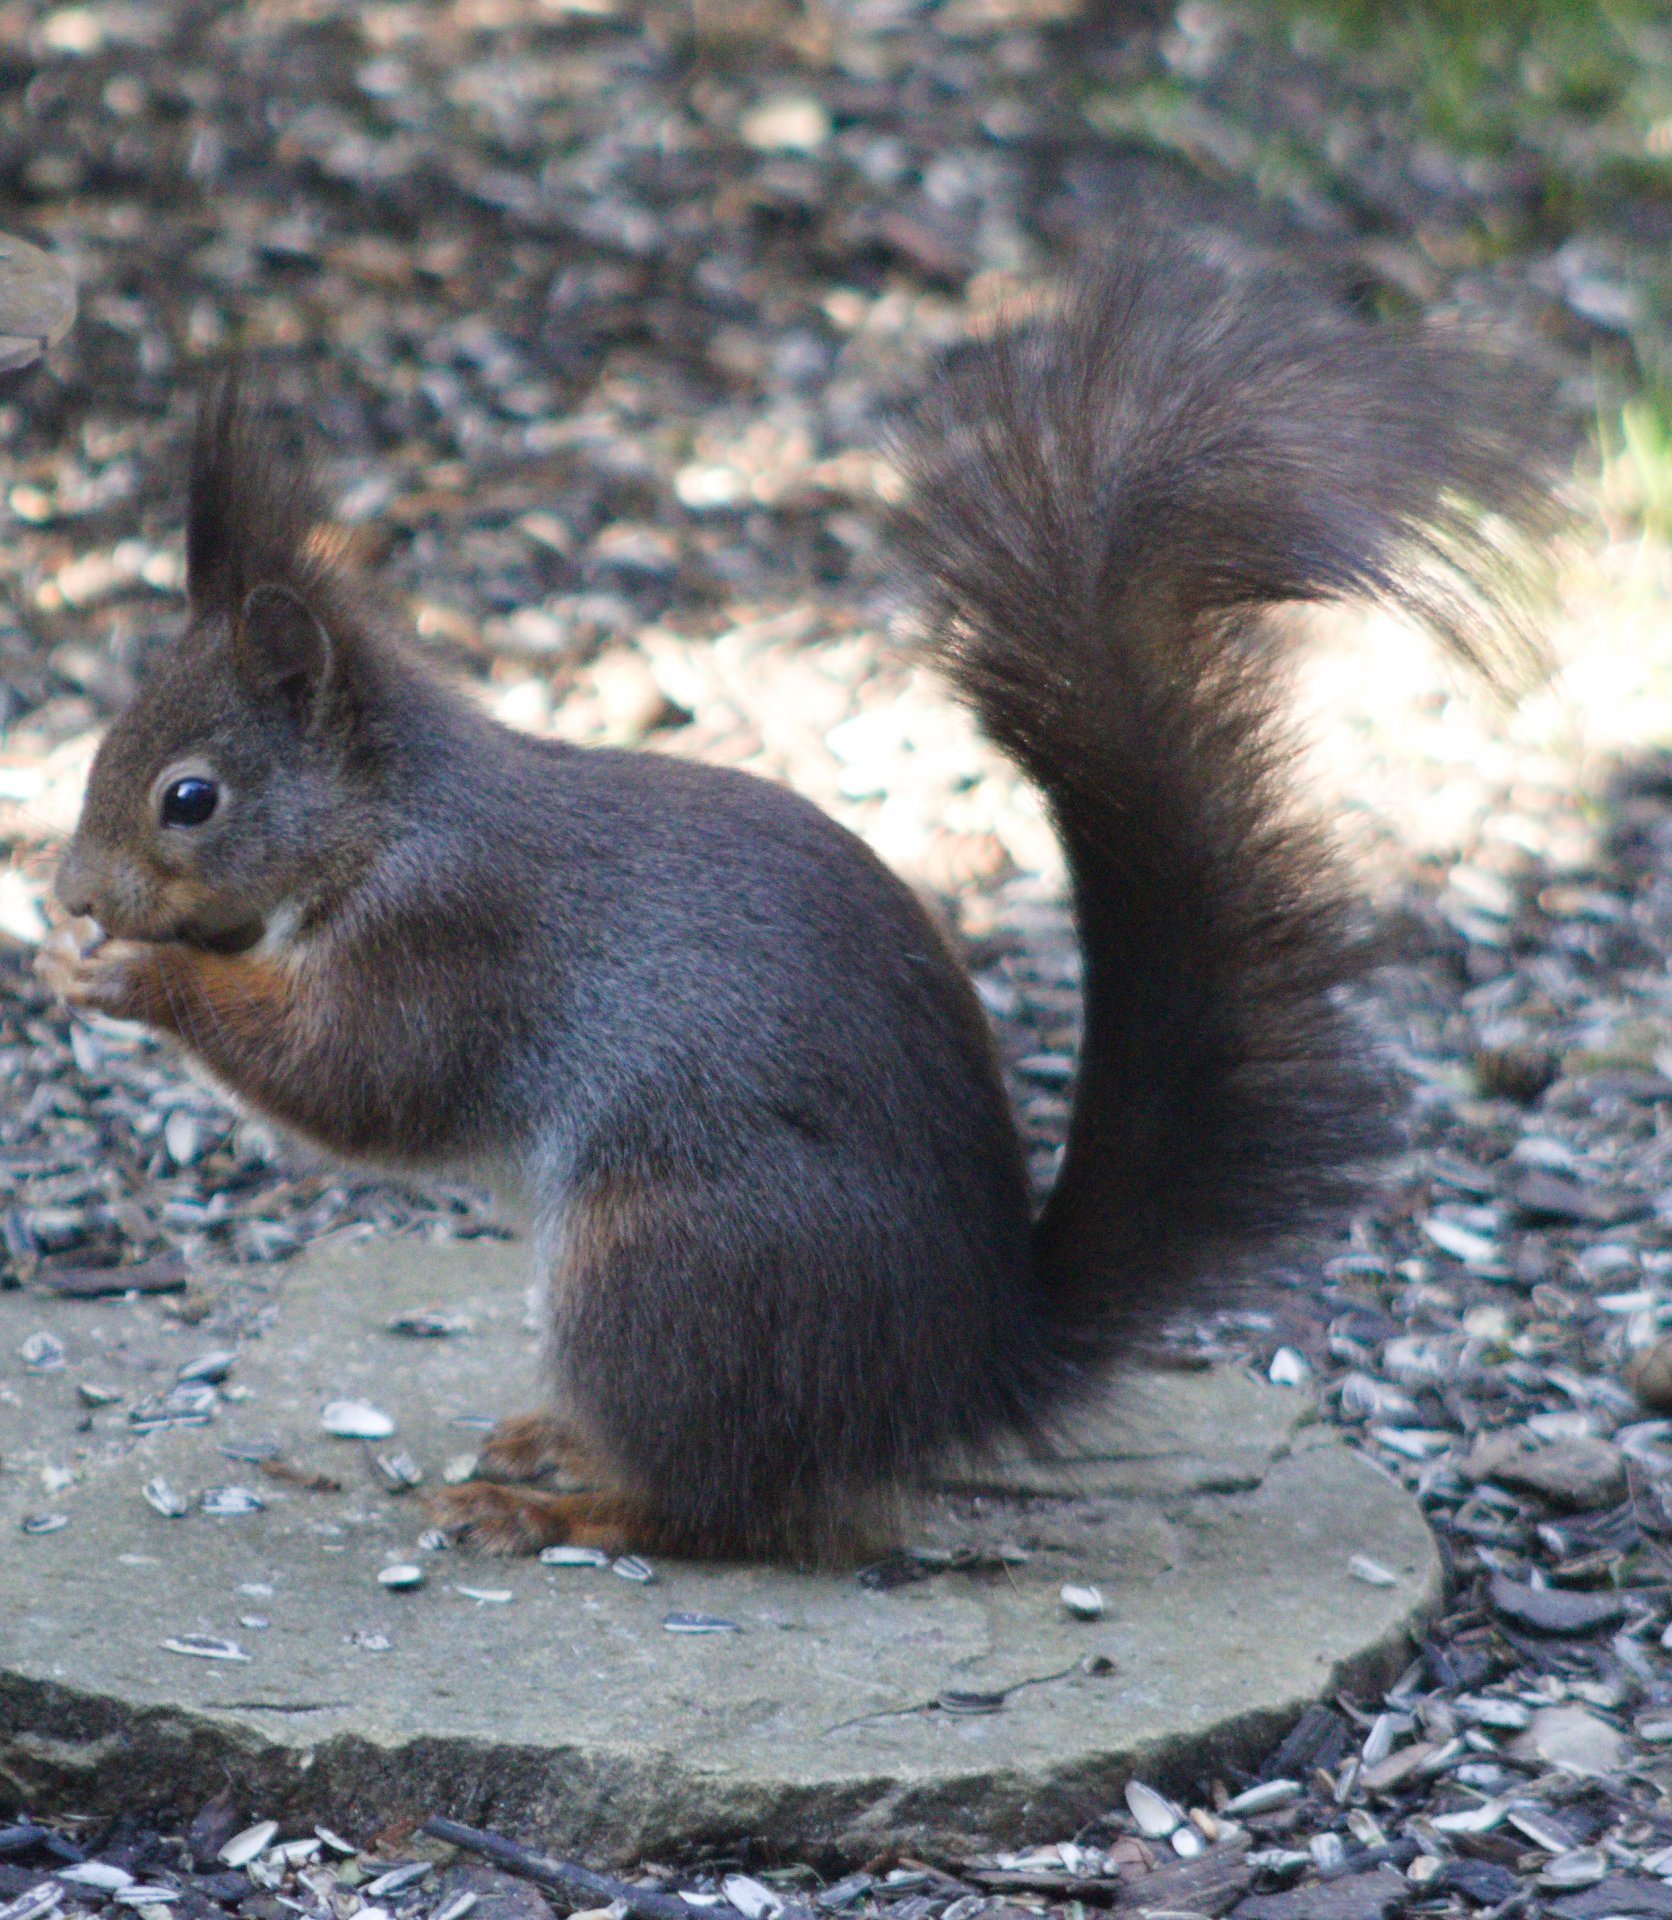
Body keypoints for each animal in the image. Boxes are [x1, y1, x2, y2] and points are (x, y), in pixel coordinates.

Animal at [39, 231, 1557, 1563]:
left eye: (190, 799)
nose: (67, 892)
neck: (386, 818)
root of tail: (959, 1374)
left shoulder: (457, 938)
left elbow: (354, 1076)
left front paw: (131, 976)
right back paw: (557, 1443)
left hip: (665, 1268)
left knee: (718, 1507)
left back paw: (552, 1509)